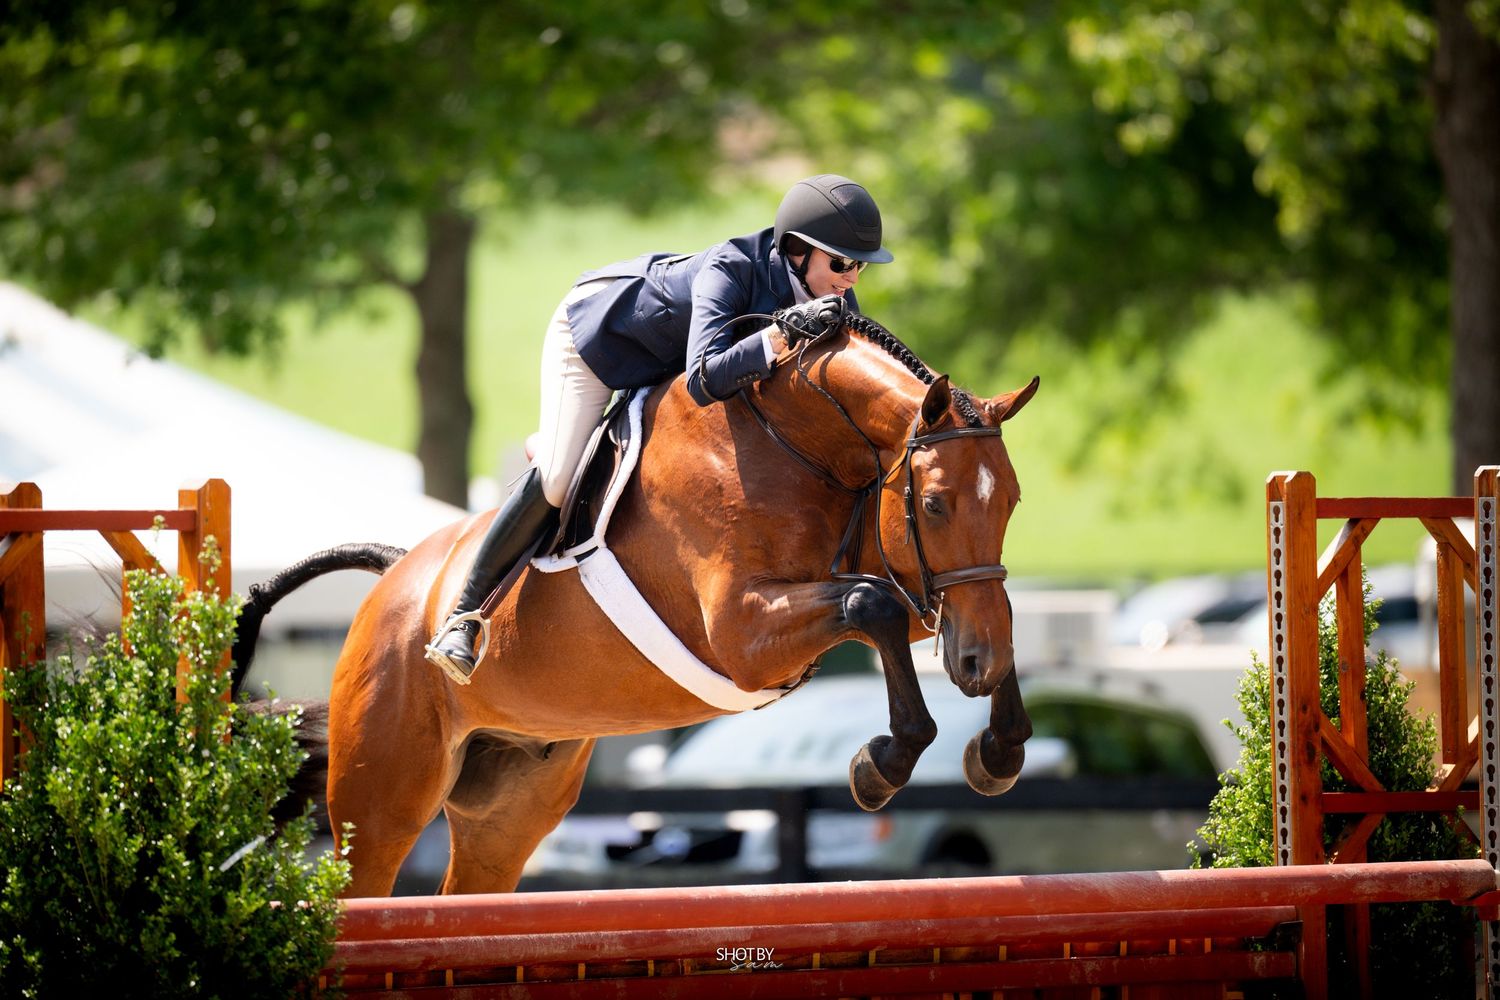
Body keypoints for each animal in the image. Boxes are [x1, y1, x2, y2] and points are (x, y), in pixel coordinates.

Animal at [233, 313, 1040, 897]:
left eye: (1012, 503)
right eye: (934, 505)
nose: (972, 663)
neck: (800, 441)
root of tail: (395, 579)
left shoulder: (910, 588)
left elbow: (963, 612)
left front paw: (998, 750)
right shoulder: (742, 633)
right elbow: (872, 607)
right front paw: (884, 762)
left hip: (509, 806)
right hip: (381, 802)